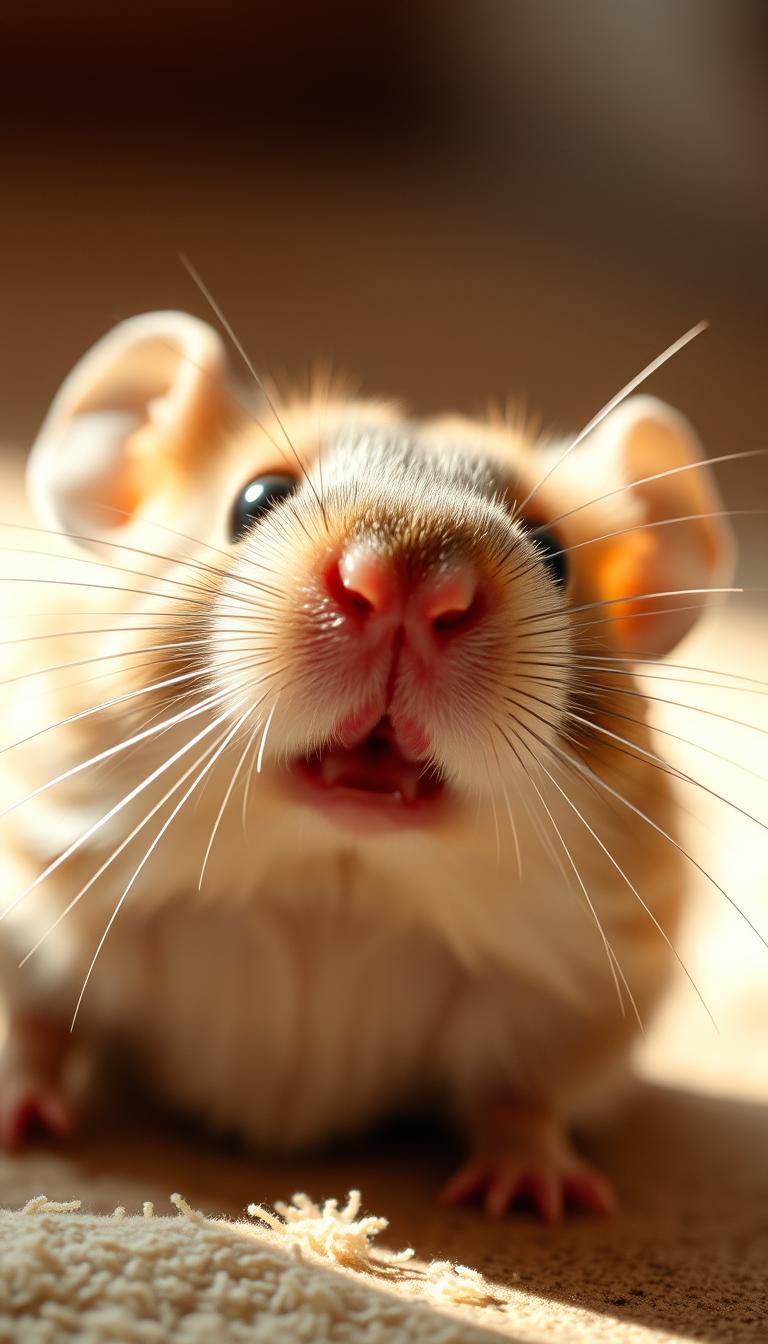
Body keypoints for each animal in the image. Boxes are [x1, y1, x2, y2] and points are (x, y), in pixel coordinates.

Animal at [0, 311, 736, 1220]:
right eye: (255, 500)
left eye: (553, 551)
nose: (405, 589)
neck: (336, 871)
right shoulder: (44, 903)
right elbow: (34, 1026)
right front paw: (17, 1116)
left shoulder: (564, 992)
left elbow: (523, 1096)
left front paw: (535, 1193)